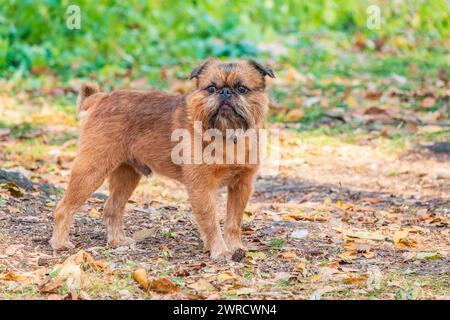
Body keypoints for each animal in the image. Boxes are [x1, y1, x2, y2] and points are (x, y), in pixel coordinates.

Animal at [49, 58, 274, 262]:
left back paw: (117, 241)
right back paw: (60, 243)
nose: (225, 92)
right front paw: (220, 250)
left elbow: (233, 222)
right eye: (211, 88)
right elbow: (210, 221)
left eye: (242, 89)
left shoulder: (242, 185)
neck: (227, 136)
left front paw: (235, 247)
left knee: (112, 207)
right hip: (91, 170)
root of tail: (101, 97)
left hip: (127, 175)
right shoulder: (201, 187)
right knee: (64, 208)